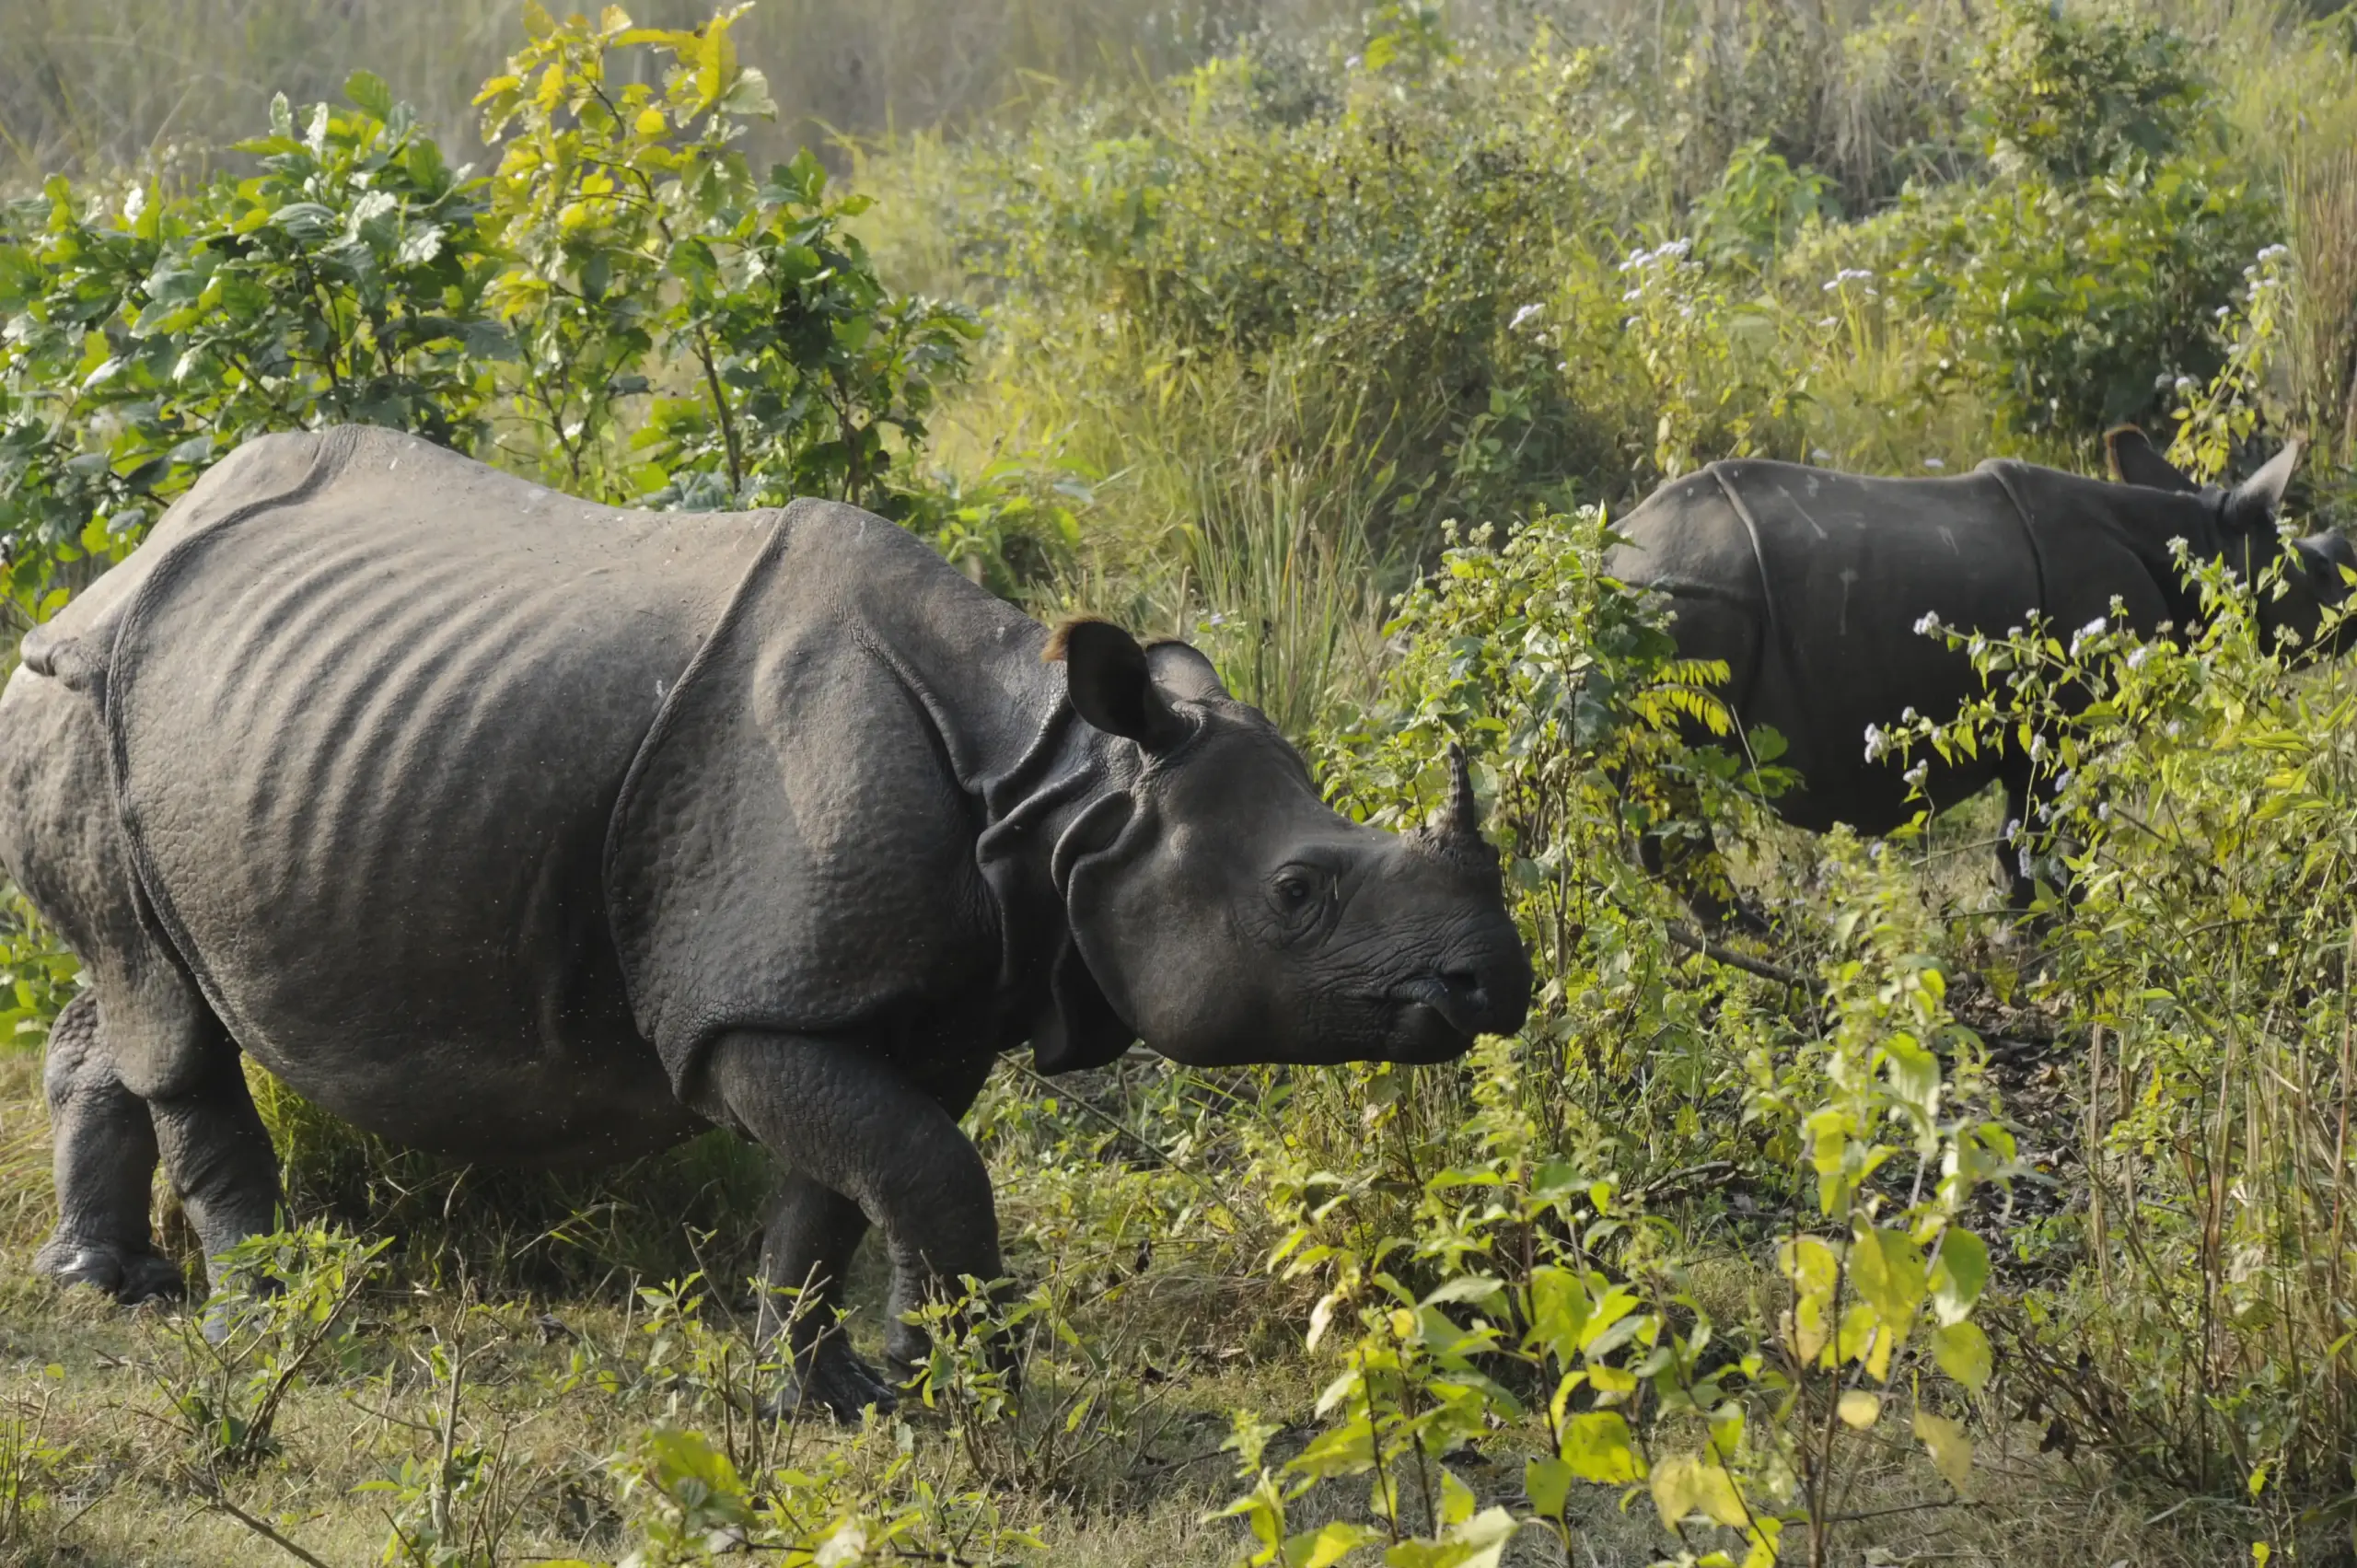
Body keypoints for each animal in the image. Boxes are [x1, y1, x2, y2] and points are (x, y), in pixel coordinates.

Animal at [0, 425, 1530, 1415]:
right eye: (1297, 894)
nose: (1494, 982)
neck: (1056, 793)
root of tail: (109, 565)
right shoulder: (751, 1005)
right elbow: (925, 1170)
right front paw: (969, 1397)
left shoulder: (910, 996)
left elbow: (846, 1191)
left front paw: (837, 1397)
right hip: (78, 692)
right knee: (165, 1011)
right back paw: (267, 1320)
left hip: (154, 718)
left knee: (128, 978)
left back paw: (108, 1281)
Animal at [1604, 429, 2353, 909]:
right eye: (2320, 571)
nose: (2353, 609)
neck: (2199, 541)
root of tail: (1608, 561)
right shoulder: (2079, 714)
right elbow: (2056, 827)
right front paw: (2053, 927)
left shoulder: (2041, 726)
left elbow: (2024, 834)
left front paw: (2029, 922)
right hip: (1680, 603)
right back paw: (1748, 933)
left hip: (1656, 610)